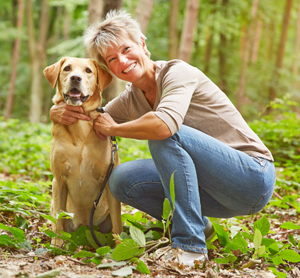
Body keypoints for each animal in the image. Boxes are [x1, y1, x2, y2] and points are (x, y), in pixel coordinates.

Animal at [43, 57, 122, 245]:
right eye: (67, 68)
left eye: (88, 70)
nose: (75, 78)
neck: (80, 126)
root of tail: (85, 228)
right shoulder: (58, 180)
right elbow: (59, 220)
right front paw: (57, 245)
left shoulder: (108, 179)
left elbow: (118, 224)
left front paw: (120, 246)